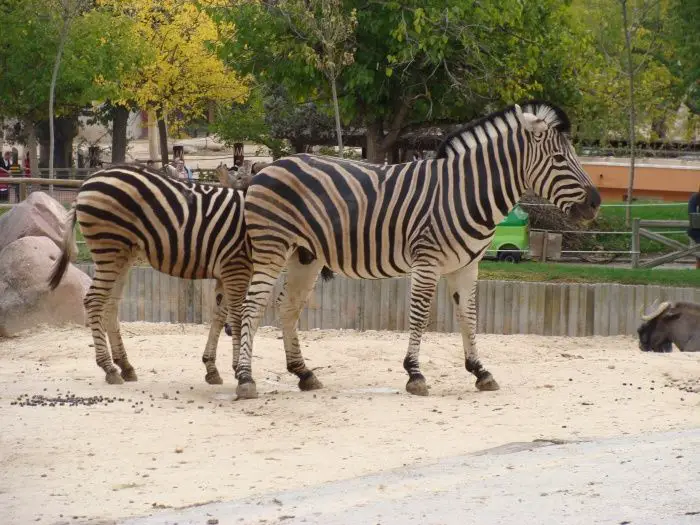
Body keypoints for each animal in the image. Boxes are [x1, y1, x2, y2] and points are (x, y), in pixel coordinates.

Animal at [48, 164, 252, 384]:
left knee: (110, 303)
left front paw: (213, 367)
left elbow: (220, 316)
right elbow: (238, 316)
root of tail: (87, 182)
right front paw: (238, 369)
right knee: (94, 300)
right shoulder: (236, 268)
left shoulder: (227, 273)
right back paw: (109, 368)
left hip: (123, 254)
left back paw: (125, 365)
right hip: (109, 247)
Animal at [231, 101, 600, 398]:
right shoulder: (427, 261)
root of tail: (267, 167)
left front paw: (480, 371)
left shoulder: (466, 266)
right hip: (272, 249)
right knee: (251, 306)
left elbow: (469, 316)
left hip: (304, 256)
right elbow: (420, 314)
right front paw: (415, 374)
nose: (595, 203)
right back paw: (246, 379)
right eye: (559, 159)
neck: (465, 192)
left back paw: (304, 374)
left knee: (287, 307)